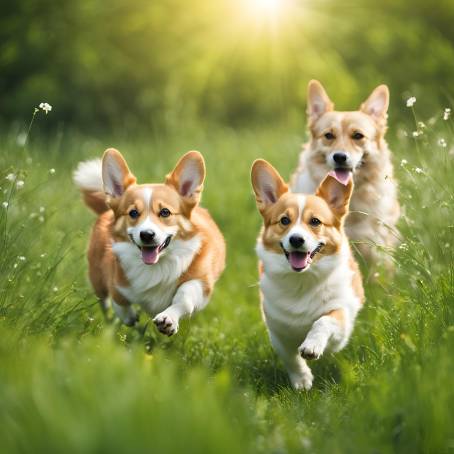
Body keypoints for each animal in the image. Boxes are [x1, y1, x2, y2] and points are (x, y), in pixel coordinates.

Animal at [73, 148, 227, 334]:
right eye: (133, 213)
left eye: (165, 212)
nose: (146, 234)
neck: (156, 266)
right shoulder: (116, 280)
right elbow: (119, 301)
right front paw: (129, 317)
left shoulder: (201, 282)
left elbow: (184, 297)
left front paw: (168, 318)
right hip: (96, 279)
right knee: (105, 303)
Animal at [252, 160, 366, 390]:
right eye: (284, 220)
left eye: (315, 221)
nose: (296, 239)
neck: (302, 280)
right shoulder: (278, 333)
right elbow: (291, 358)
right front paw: (301, 380)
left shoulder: (340, 320)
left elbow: (323, 321)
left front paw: (311, 346)